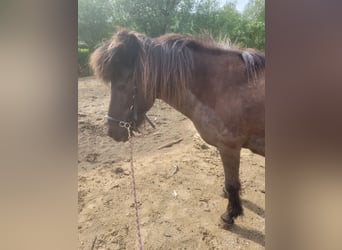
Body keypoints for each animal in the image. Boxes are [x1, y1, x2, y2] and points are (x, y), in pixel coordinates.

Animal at [89, 29, 264, 225]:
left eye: (122, 85)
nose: (112, 131)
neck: (223, 88)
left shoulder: (229, 147)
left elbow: (232, 183)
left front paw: (230, 214)